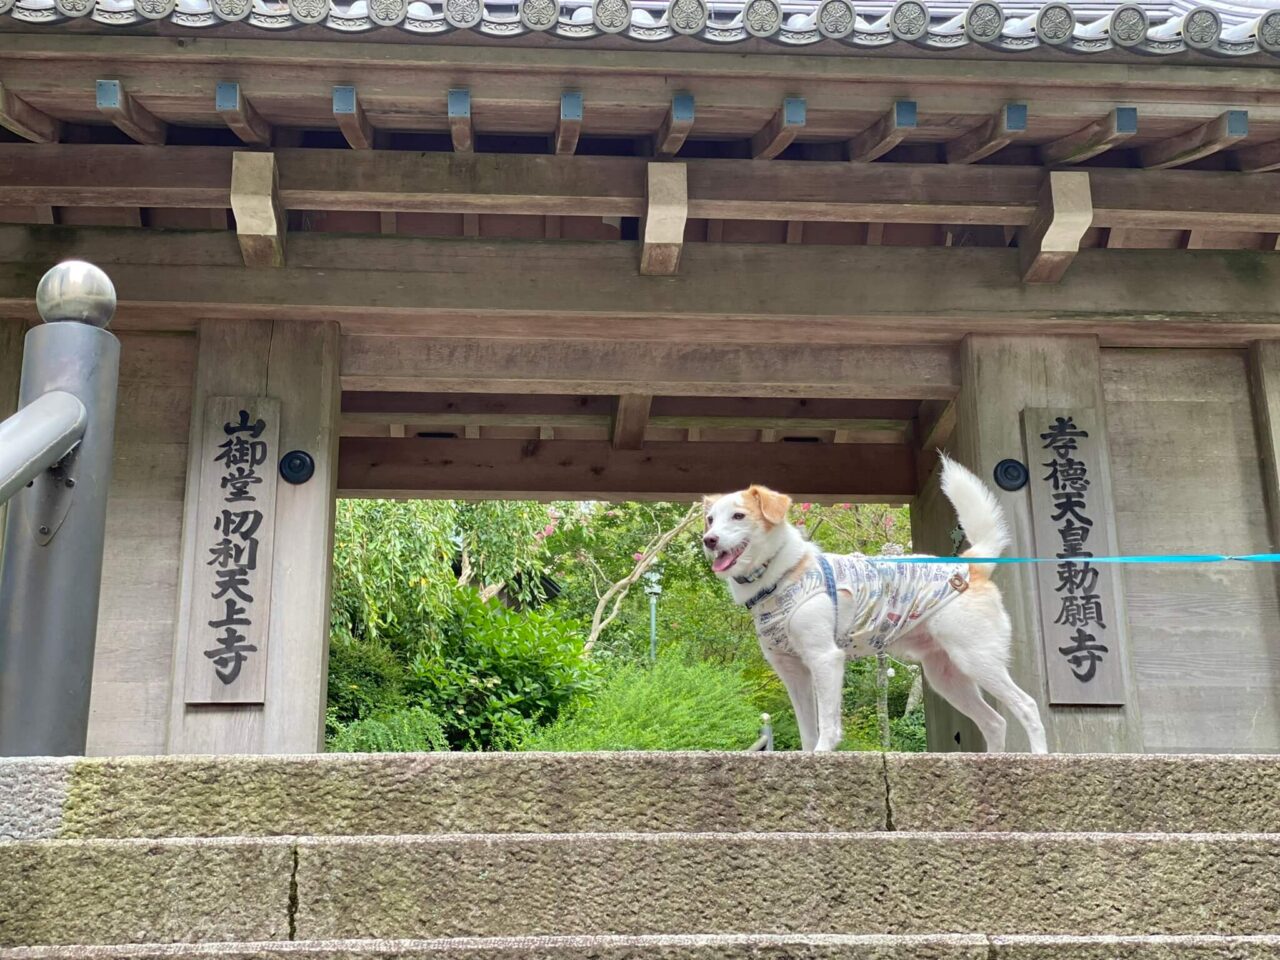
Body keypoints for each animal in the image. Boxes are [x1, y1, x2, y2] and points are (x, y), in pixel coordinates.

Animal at [706, 455, 1044, 757]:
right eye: (710, 519)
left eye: (738, 516)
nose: (708, 539)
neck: (782, 574)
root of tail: (969, 566)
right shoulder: (792, 670)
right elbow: (807, 726)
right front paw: (807, 755)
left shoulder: (824, 658)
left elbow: (827, 721)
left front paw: (822, 753)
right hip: (946, 677)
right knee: (995, 722)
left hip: (977, 658)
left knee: (1027, 706)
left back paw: (1040, 754)